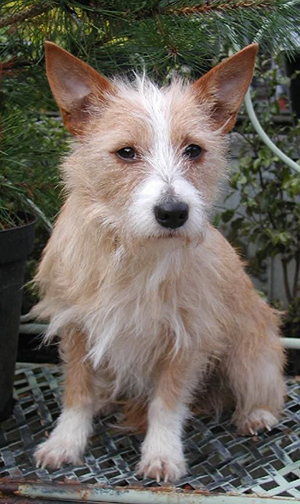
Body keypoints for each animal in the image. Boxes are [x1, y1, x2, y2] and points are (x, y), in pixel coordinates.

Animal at [34, 44, 284, 484]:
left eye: (194, 150)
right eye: (126, 152)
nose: (173, 213)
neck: (135, 251)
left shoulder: (188, 337)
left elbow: (166, 403)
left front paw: (162, 453)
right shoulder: (75, 327)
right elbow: (77, 391)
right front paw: (66, 441)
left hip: (248, 353)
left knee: (267, 388)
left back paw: (256, 414)